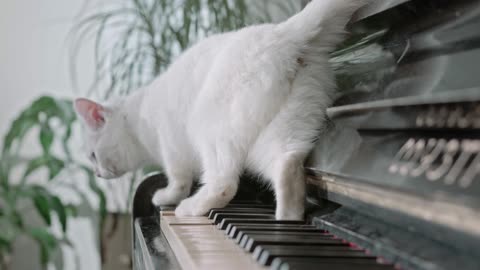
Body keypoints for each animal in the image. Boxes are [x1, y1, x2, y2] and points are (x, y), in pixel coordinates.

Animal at [74, 0, 368, 220]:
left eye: (93, 156)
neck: (137, 118)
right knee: (288, 165)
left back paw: (190, 208)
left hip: (211, 130)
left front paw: (166, 197)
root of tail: (286, 32)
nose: (97, 174)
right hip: (282, 129)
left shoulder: (171, 148)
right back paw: (288, 220)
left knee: (224, 183)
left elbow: (178, 180)